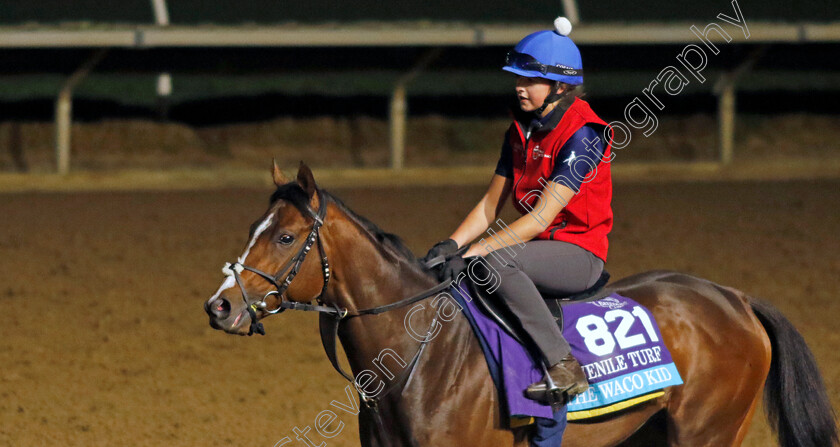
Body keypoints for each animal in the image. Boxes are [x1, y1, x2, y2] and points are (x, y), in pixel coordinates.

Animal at [202, 164, 832, 447]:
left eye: (286, 237)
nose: (221, 306)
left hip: (707, 432)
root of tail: (736, 298)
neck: (419, 356)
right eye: (254, 229)